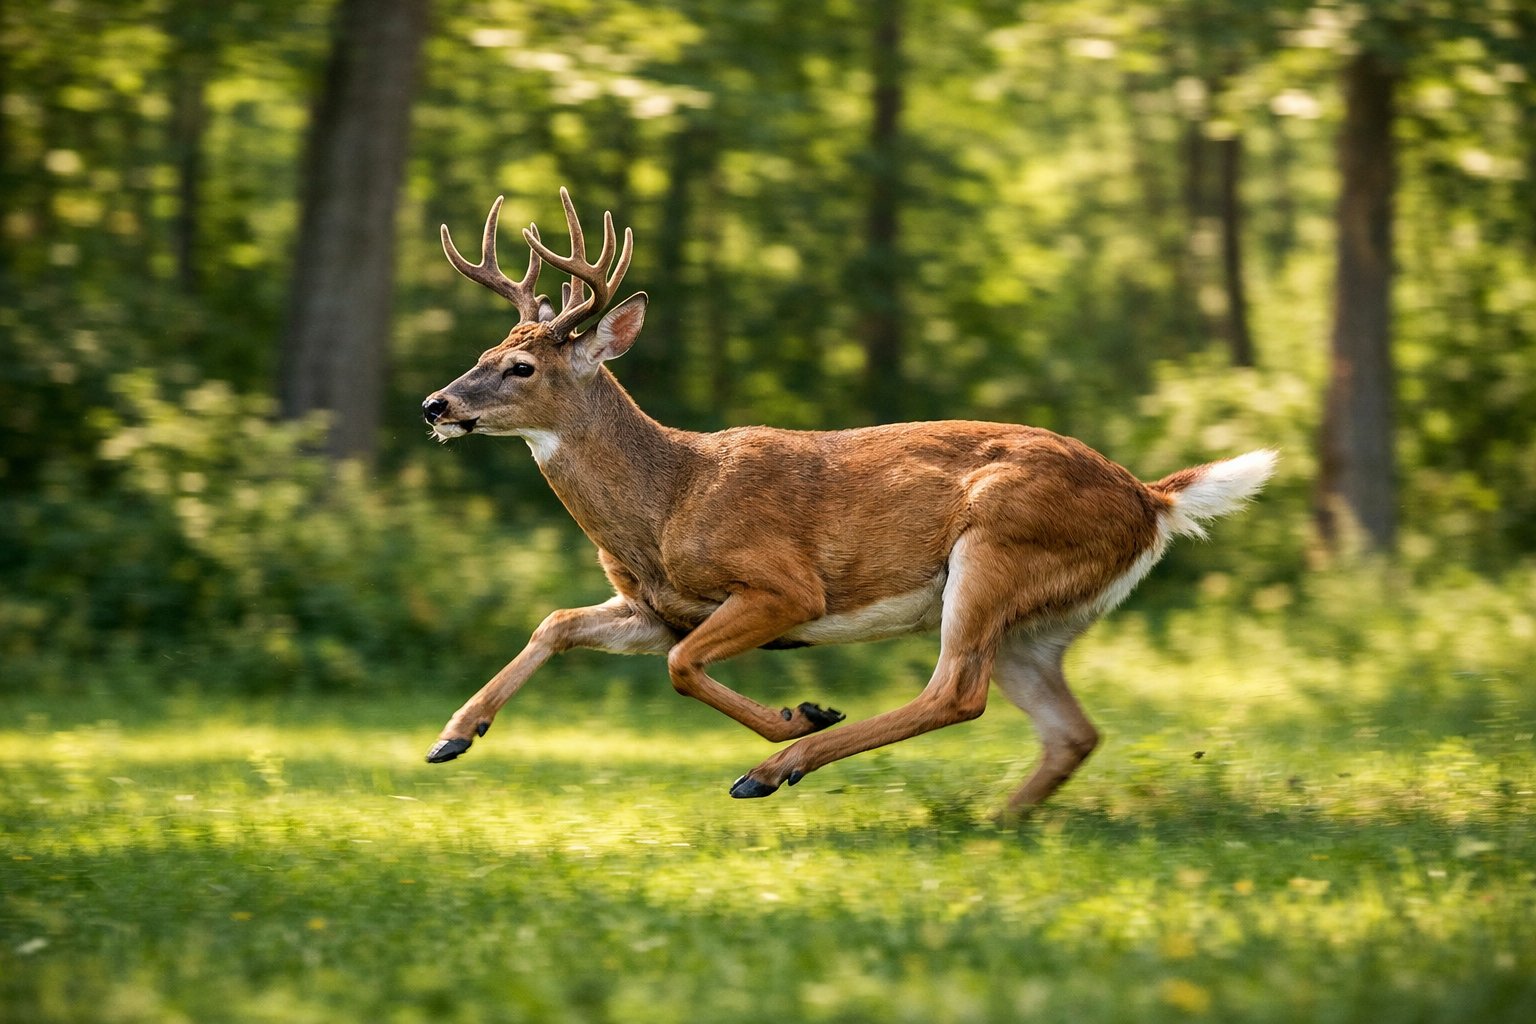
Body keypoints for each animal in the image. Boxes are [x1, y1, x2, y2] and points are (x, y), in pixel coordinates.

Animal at [420, 188, 1276, 820]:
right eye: (482, 354)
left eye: (522, 367)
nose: (435, 404)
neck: (666, 502)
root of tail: (1150, 497)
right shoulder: (654, 606)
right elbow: (560, 622)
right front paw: (454, 736)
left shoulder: (784, 586)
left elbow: (681, 666)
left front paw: (800, 716)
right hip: (1038, 623)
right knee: (1071, 731)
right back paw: (997, 824)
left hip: (996, 550)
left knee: (955, 693)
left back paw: (775, 768)